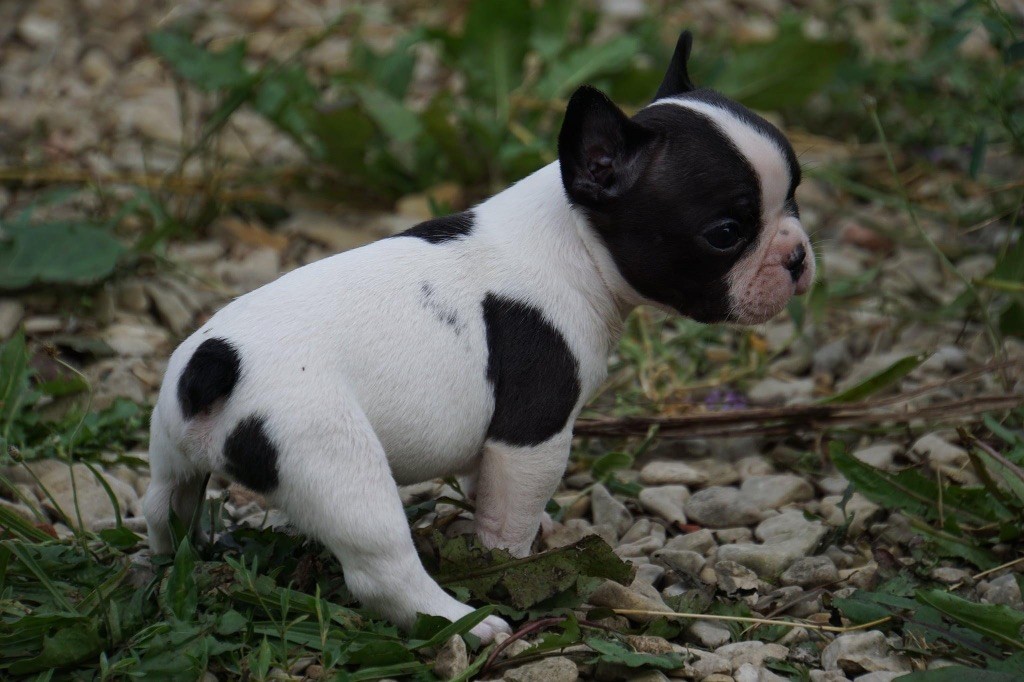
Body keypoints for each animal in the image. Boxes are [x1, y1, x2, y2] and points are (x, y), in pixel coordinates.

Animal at [143, 31, 814, 642]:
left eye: (797, 198)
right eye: (726, 233)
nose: (799, 255)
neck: (570, 239)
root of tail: (216, 364)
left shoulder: (496, 446)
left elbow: (483, 488)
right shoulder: (533, 436)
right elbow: (512, 514)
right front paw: (512, 564)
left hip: (172, 450)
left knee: (164, 506)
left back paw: (175, 559)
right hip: (332, 459)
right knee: (380, 566)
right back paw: (461, 623)